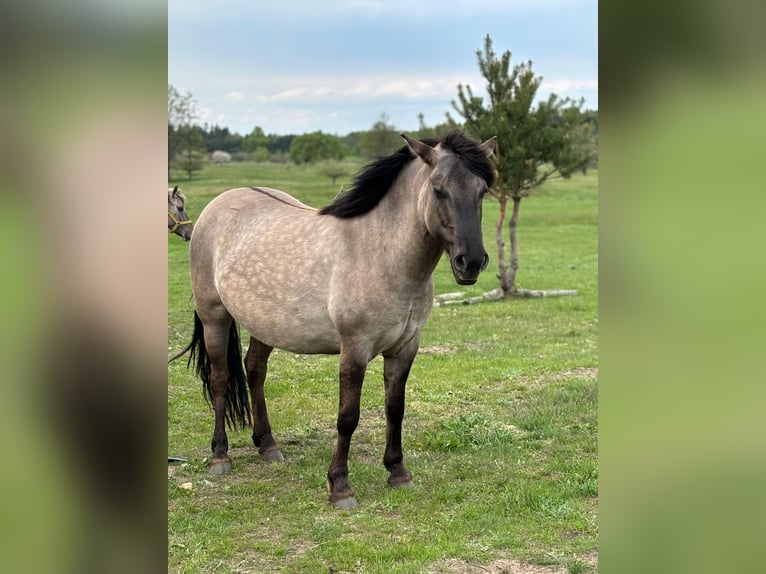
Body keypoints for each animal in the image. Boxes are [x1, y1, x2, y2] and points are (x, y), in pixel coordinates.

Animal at [179, 131, 496, 508]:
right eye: (438, 189)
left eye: (483, 190)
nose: (471, 262)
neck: (381, 253)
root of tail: (217, 206)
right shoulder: (354, 349)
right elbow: (348, 417)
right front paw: (340, 486)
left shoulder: (404, 348)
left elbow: (395, 408)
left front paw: (398, 472)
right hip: (214, 317)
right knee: (220, 380)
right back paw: (220, 456)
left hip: (264, 326)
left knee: (254, 371)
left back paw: (268, 445)